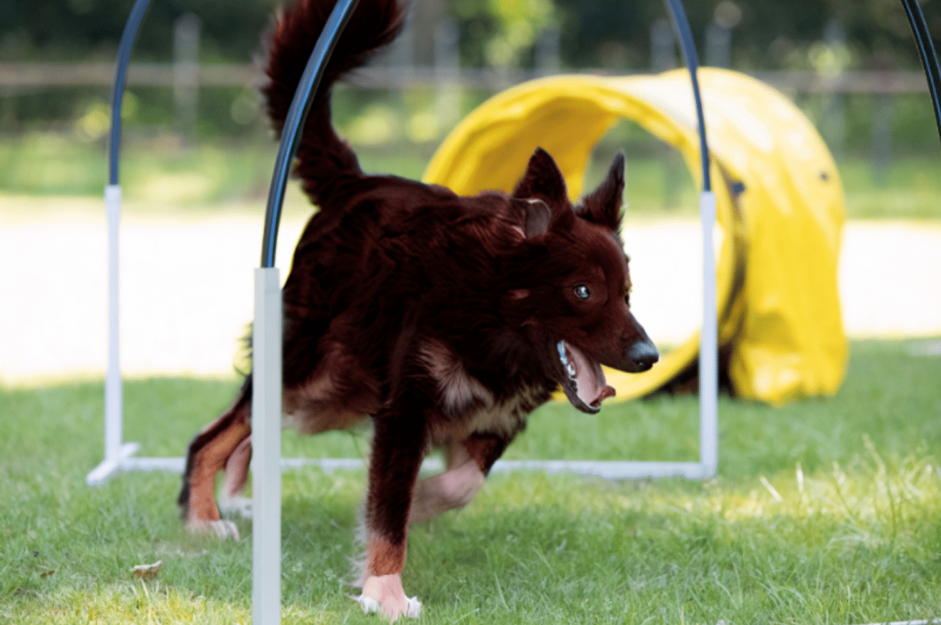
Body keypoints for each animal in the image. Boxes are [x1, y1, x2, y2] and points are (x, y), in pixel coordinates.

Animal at [178, 0, 660, 616]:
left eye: (626, 292)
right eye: (582, 292)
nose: (648, 357)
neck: (487, 317)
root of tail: (354, 184)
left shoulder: (492, 417)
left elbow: (459, 484)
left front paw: (425, 504)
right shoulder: (405, 410)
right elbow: (389, 509)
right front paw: (384, 591)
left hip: (336, 393)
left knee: (253, 427)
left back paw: (237, 494)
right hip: (313, 371)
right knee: (213, 433)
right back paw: (202, 518)